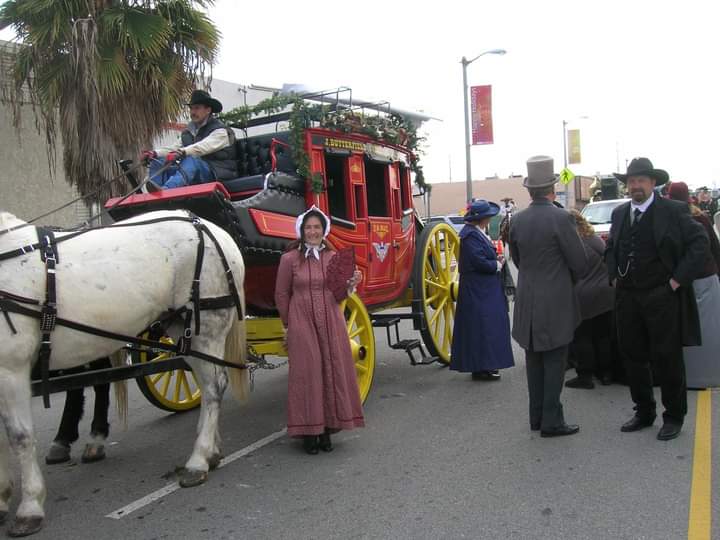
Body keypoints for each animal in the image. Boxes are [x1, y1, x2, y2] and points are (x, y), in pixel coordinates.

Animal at [0, 210, 248, 536]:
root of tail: (210, 227)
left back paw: (198, 460)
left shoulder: (11, 369)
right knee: (208, 388)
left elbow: (19, 436)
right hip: (183, 331)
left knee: (213, 387)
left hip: (206, 327)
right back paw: (211, 452)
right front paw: (2, 498)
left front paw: (29, 506)